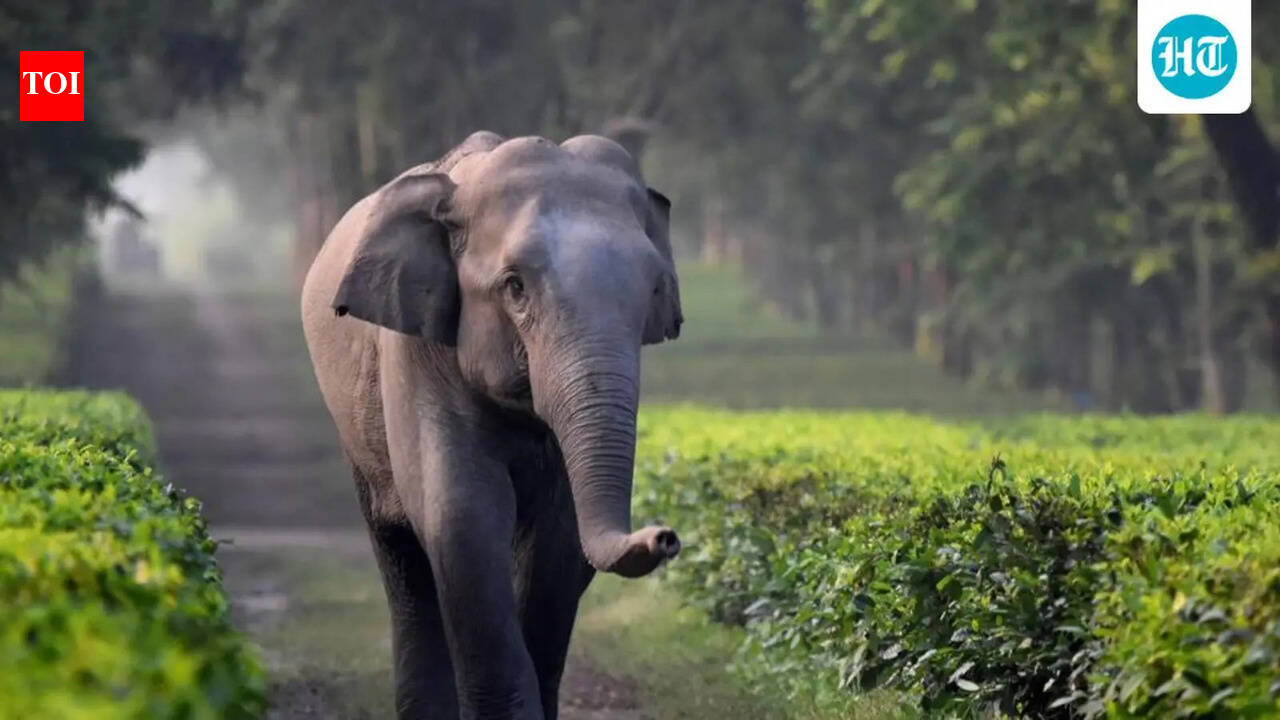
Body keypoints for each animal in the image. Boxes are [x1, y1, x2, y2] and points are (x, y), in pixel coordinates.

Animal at [300, 130, 683, 720]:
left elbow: (558, 536)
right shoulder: (417, 351)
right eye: (515, 287)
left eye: (655, 291)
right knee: (401, 556)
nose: (664, 536)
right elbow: (463, 515)